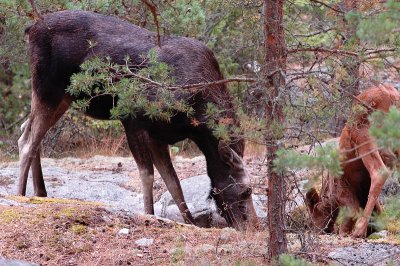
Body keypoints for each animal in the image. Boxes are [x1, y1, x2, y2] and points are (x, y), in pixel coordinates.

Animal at [18, 10, 260, 230]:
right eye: (246, 190)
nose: (254, 226)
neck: (196, 121)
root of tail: (30, 29)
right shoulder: (134, 121)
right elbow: (148, 174)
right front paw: (150, 214)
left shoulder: (160, 136)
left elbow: (174, 182)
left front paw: (191, 222)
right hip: (47, 90)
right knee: (27, 143)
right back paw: (20, 195)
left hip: (63, 97)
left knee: (27, 132)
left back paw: (40, 193)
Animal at [308, 84, 398, 238]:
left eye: (314, 215)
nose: (315, 230)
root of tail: (390, 96)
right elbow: (378, 213)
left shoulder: (343, 189)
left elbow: (350, 215)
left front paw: (345, 232)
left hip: (363, 136)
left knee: (379, 172)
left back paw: (359, 230)